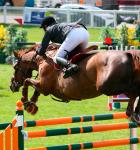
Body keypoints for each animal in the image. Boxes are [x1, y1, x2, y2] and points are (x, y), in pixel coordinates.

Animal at [9, 44, 140, 125]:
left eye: (15, 67)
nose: (12, 86)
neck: (44, 59)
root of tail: (128, 54)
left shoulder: (44, 86)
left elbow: (27, 81)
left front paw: (26, 102)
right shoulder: (43, 86)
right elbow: (35, 89)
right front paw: (32, 104)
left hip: (108, 87)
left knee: (134, 92)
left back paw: (133, 114)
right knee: (134, 96)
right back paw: (133, 114)